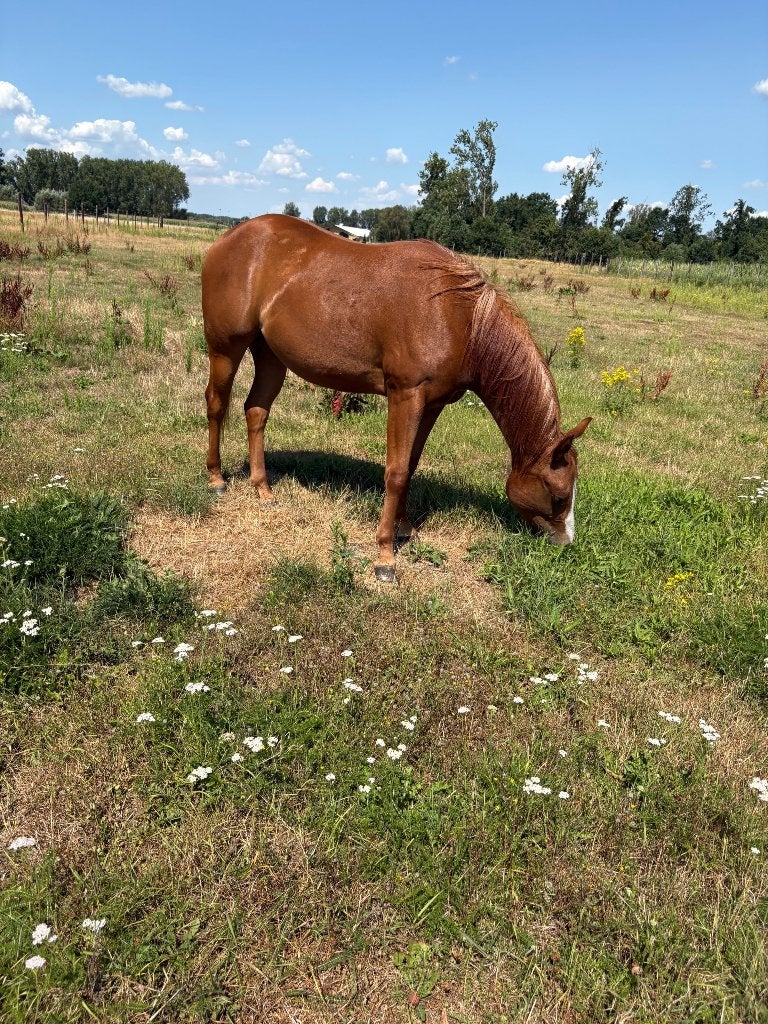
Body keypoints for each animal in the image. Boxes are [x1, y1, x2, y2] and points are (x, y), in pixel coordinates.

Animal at [201, 214, 590, 581]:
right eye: (559, 496)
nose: (565, 543)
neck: (458, 317)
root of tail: (228, 238)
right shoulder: (405, 396)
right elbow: (397, 472)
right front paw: (385, 556)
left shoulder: (432, 404)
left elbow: (412, 464)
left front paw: (405, 529)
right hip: (225, 349)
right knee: (216, 404)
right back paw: (217, 480)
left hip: (270, 356)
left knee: (256, 411)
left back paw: (263, 490)